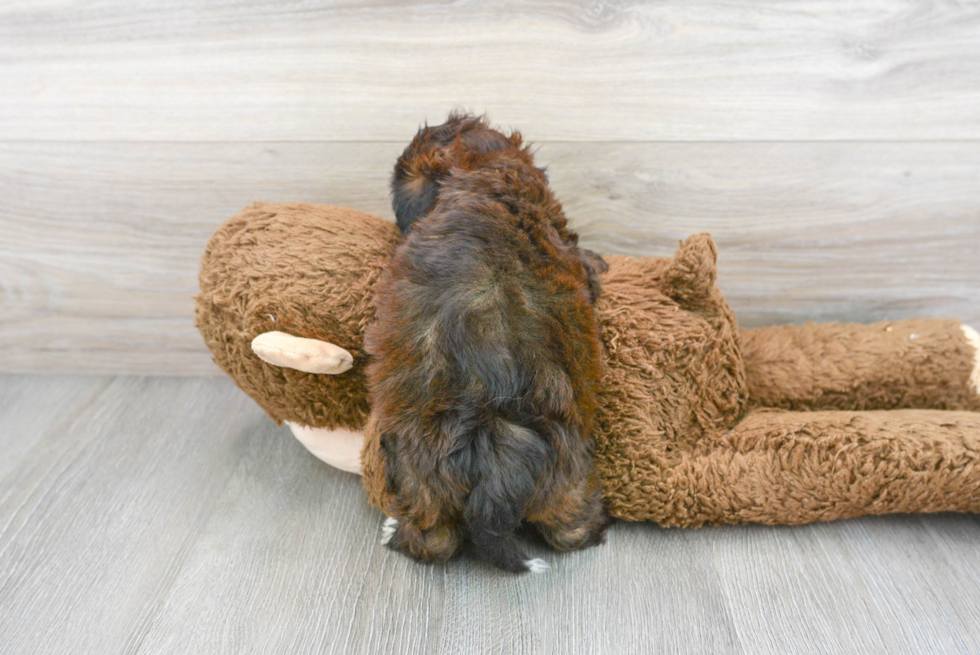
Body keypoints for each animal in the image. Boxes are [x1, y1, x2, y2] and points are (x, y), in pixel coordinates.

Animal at [364, 114, 608, 576]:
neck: (488, 172)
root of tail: (493, 429)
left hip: (421, 474)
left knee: (436, 539)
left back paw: (394, 531)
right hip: (565, 477)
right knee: (569, 530)